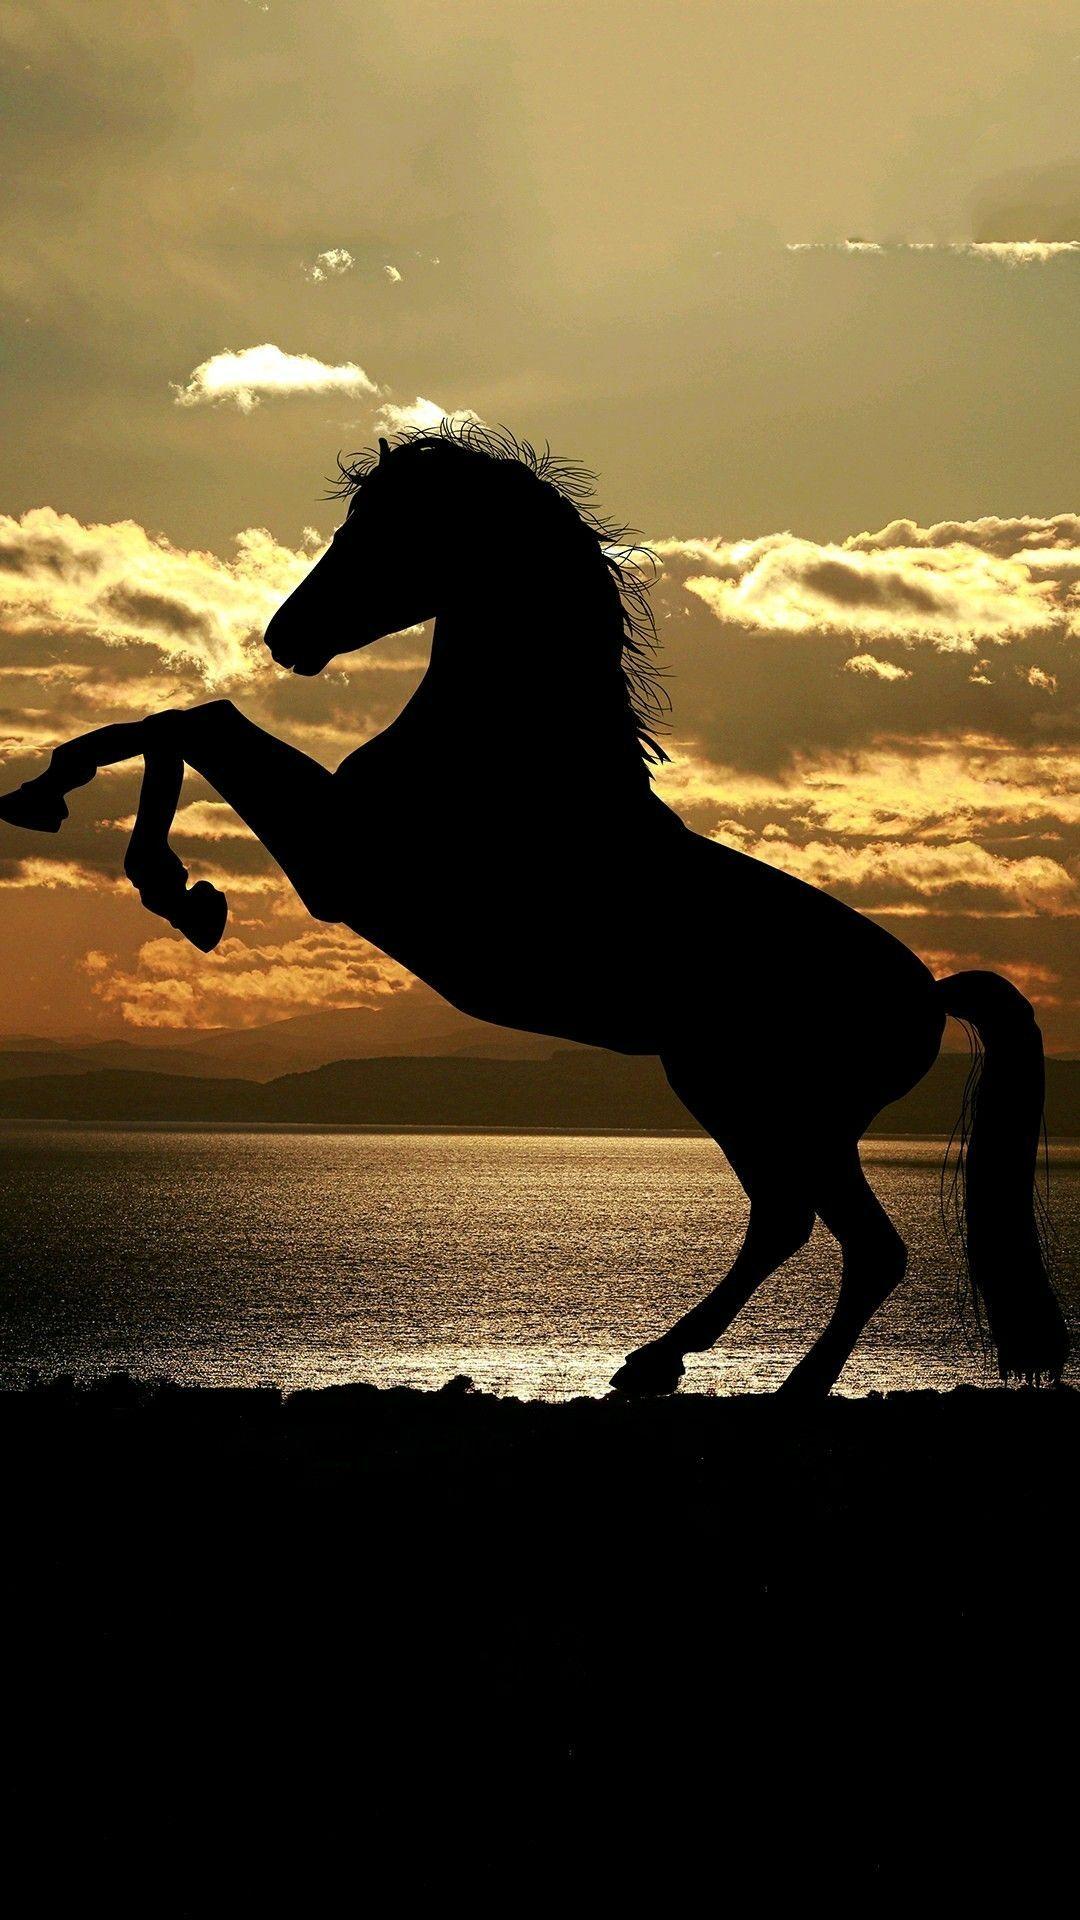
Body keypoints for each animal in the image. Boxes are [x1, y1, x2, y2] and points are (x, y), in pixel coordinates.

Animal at [0, 421, 1068, 1395]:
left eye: (386, 530)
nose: (284, 638)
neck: (512, 755)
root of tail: (929, 994)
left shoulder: (342, 863)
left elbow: (196, 723)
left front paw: (167, 881)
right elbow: (176, 721)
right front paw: (71, 810)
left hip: (765, 1101)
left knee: (848, 1240)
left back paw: (765, 1383)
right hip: (755, 1102)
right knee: (790, 1224)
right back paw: (656, 1362)